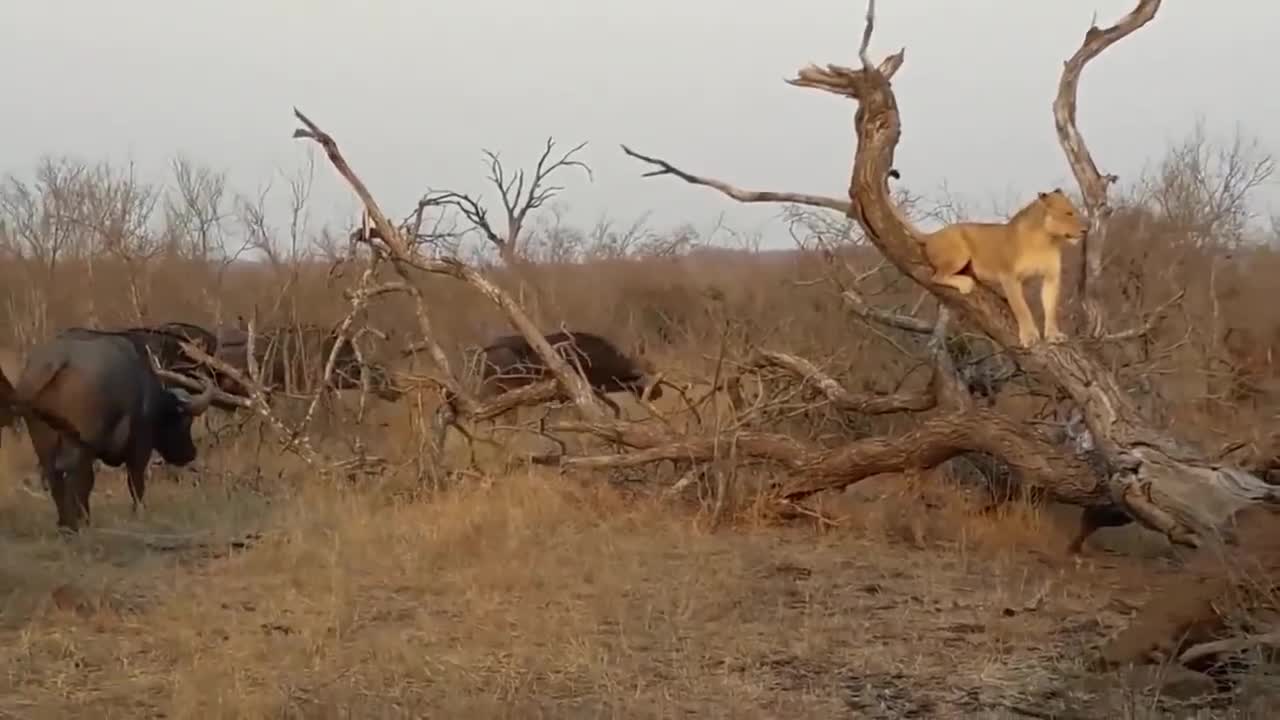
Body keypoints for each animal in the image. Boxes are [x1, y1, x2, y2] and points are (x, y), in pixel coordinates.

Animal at [6, 327, 215, 530]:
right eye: (185, 421)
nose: (191, 452)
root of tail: (57, 360)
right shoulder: (139, 448)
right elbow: (136, 484)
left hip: (44, 442)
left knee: (57, 481)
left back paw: (67, 523)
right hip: (80, 446)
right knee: (78, 480)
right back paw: (78, 522)